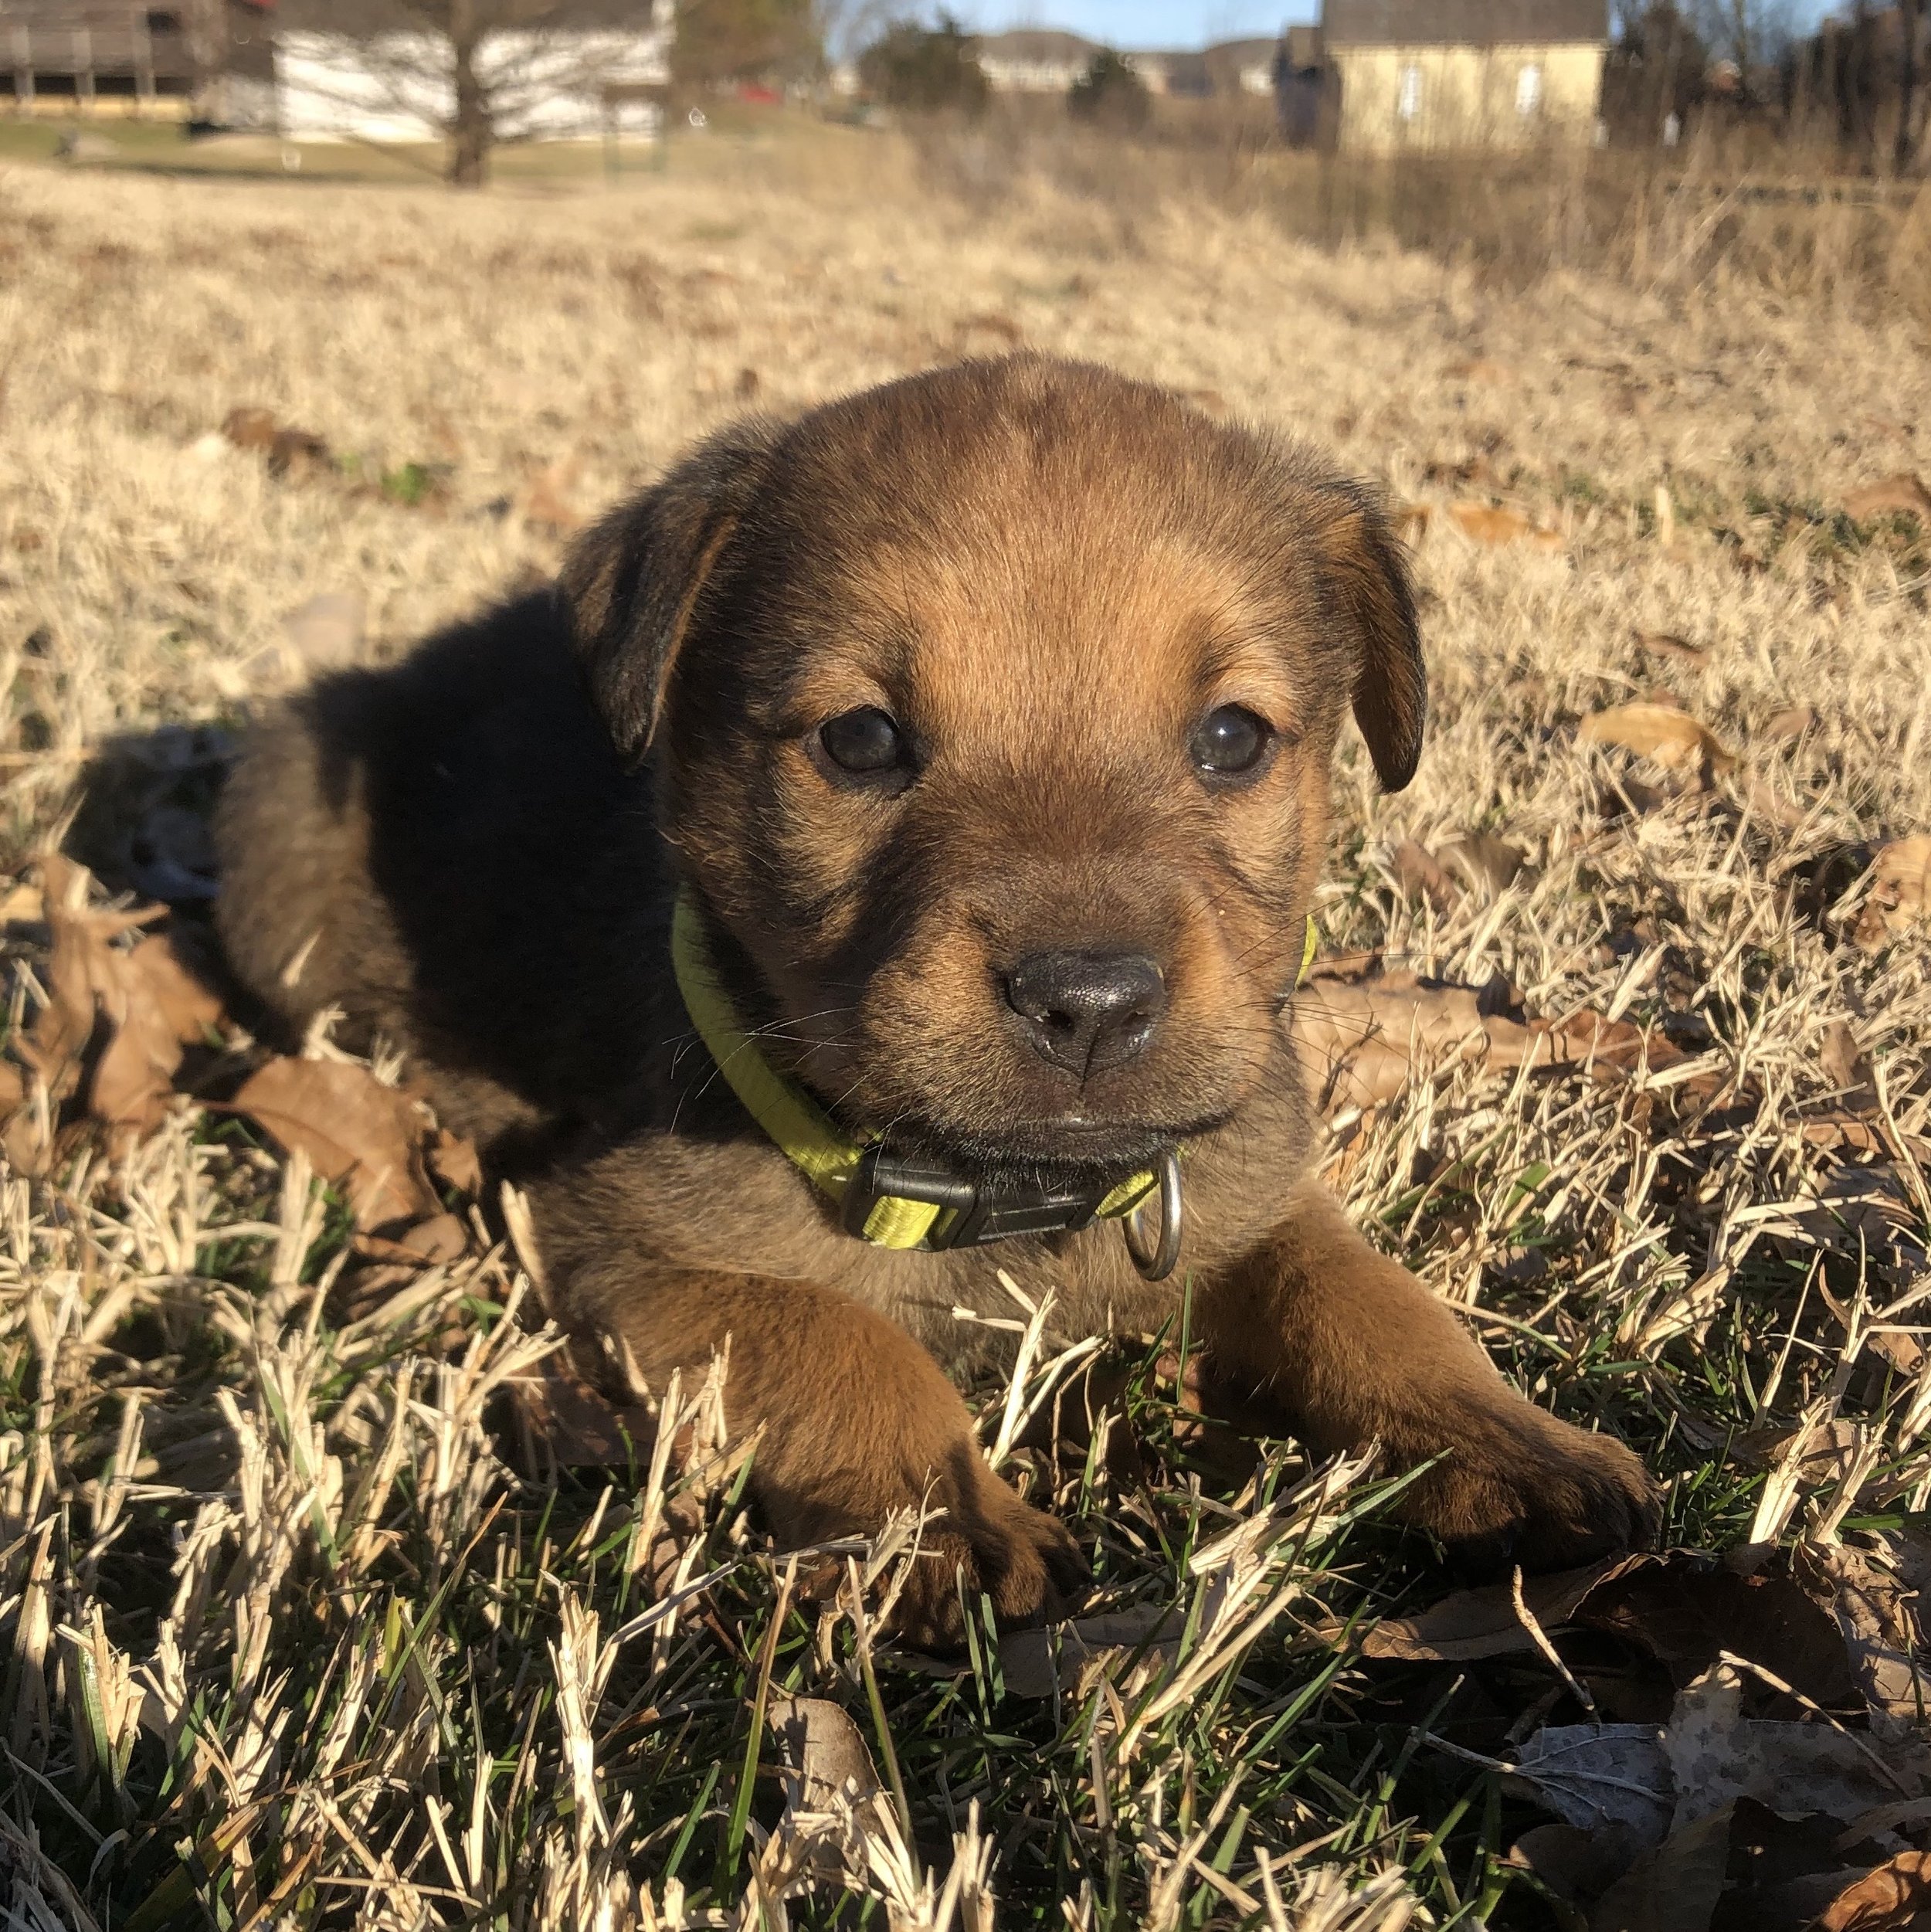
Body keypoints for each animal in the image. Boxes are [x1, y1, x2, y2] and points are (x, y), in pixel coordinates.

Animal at [215, 359, 1661, 1645]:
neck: (1012, 1194)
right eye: (860, 739)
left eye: (1233, 737)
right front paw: (948, 1524)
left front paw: (1510, 1438)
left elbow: (1367, 1294)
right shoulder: (626, 1241)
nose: (1090, 1002)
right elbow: (841, 1339)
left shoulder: (1245, 1191)